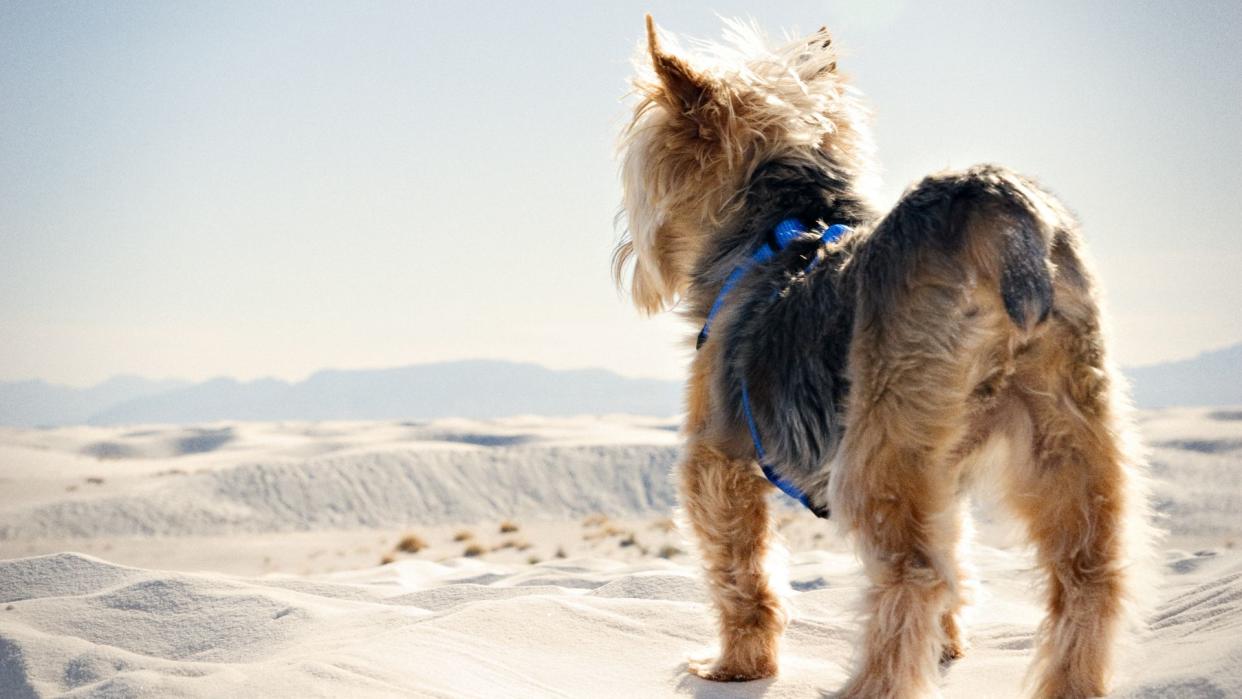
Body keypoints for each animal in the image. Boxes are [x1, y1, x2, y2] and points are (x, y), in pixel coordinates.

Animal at [616, 16, 1147, 699]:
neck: (783, 226)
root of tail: (998, 211)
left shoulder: (717, 459)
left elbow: (742, 576)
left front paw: (737, 668)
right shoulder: (943, 474)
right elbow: (960, 557)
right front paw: (947, 649)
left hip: (879, 446)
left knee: (914, 574)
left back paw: (868, 686)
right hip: (1068, 422)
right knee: (1088, 573)